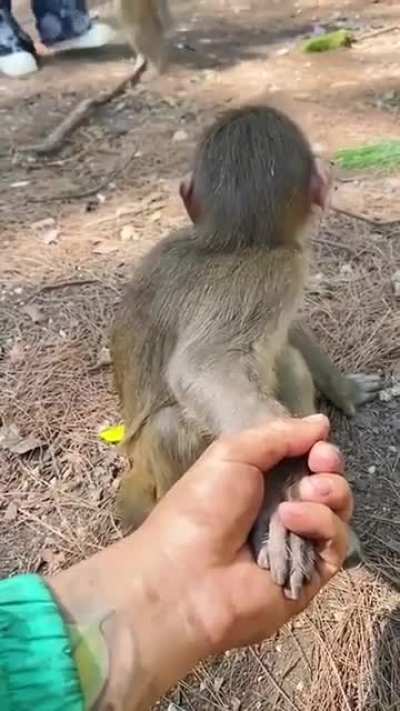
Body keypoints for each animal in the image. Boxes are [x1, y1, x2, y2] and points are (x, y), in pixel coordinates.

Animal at [111, 104, 382, 599]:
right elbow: (205, 368)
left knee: (286, 359)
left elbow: (288, 331)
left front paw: (343, 388)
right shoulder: (277, 269)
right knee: (172, 426)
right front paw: (280, 498)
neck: (229, 241)